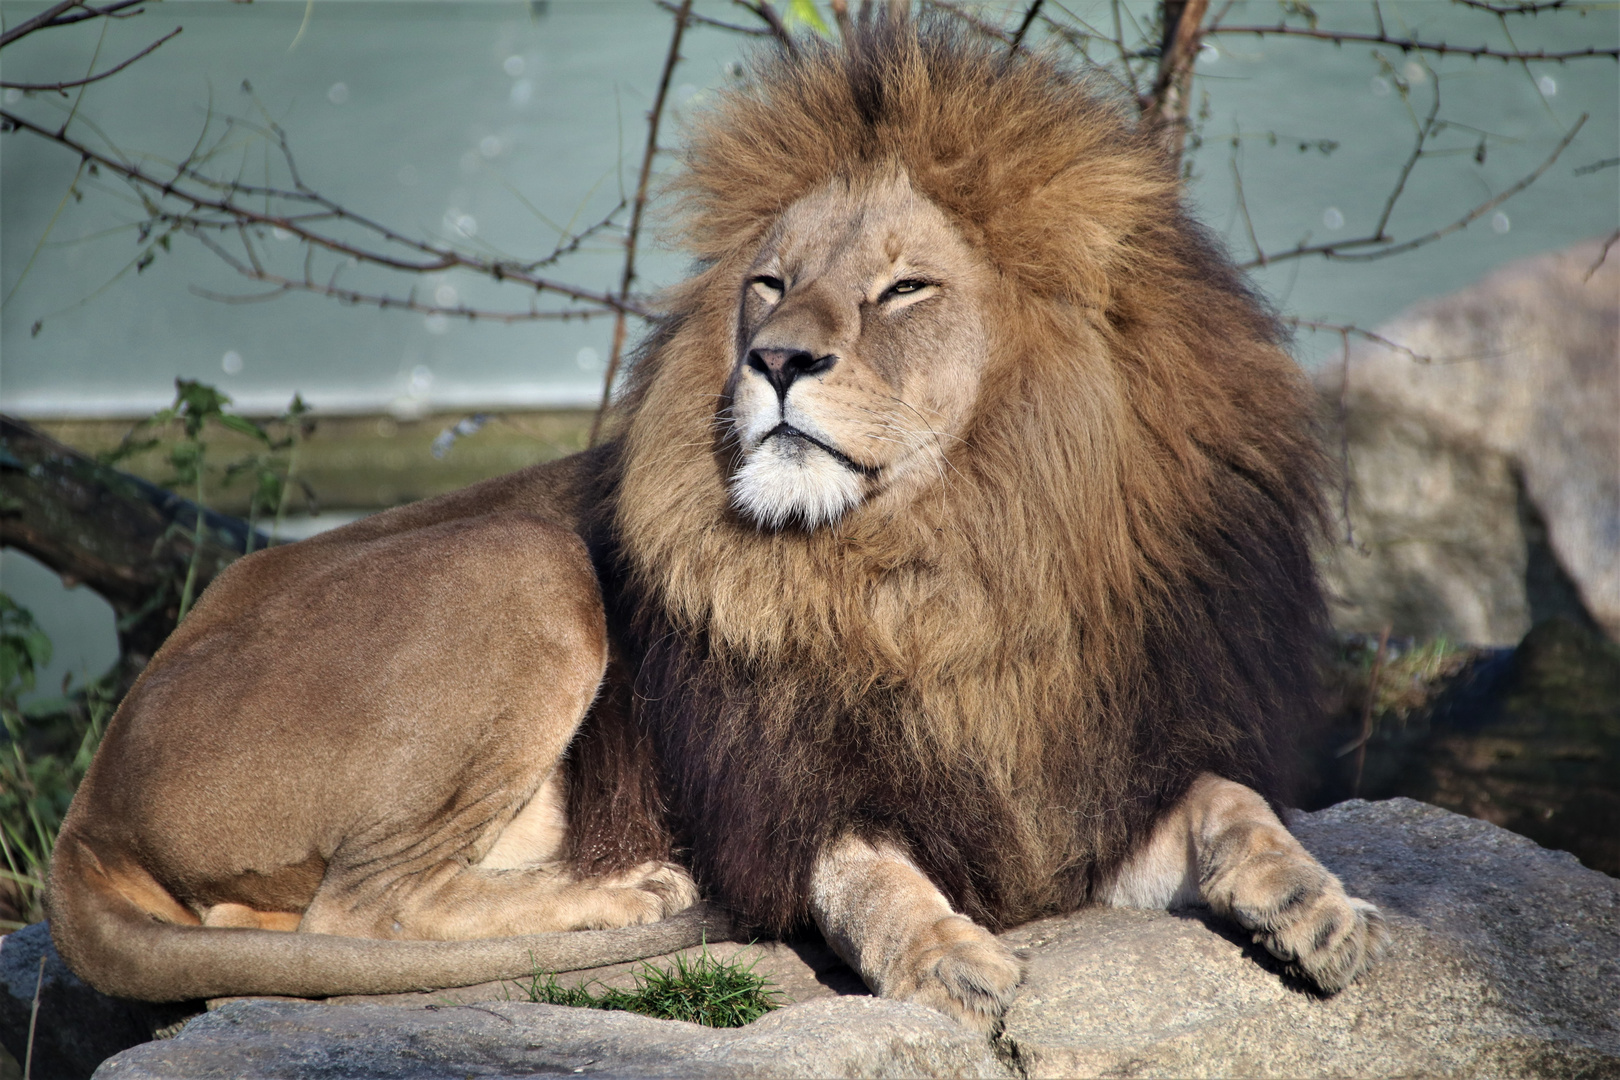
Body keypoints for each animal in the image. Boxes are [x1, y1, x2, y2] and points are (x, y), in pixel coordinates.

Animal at [57, 16, 1386, 1029]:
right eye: (770, 281)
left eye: (905, 287)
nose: (775, 359)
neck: (944, 567)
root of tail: (91, 799)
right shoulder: (786, 800)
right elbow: (867, 873)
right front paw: (948, 960)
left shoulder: (1085, 783)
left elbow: (1234, 804)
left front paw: (1333, 913)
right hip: (524, 566)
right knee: (356, 912)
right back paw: (618, 893)